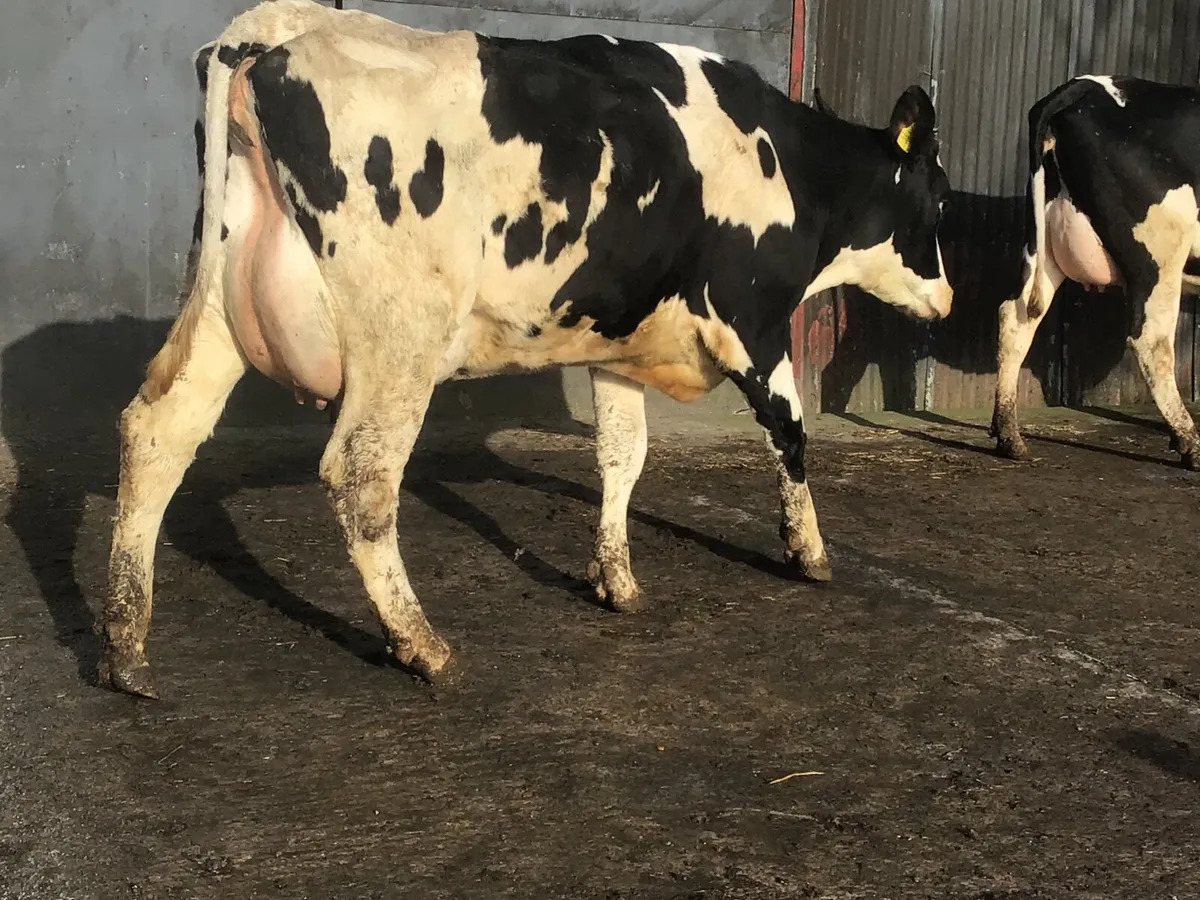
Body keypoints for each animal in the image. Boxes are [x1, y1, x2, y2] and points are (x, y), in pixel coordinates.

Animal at [101, 0, 953, 698]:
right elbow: (792, 434)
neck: (790, 164)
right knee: (361, 475)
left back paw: (126, 647)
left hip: (218, 306)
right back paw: (421, 644)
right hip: (399, 340)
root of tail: (278, 28)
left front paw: (615, 579)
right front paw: (808, 552)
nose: (947, 299)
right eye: (940, 197)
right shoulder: (753, 320)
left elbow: (623, 454)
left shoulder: (616, 343)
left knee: (158, 432)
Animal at [991, 75, 1200, 469]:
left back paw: (1009, 436)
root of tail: (1084, 84)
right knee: (1152, 341)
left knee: (1016, 316)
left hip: (1046, 241)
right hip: (1159, 251)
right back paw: (1189, 443)